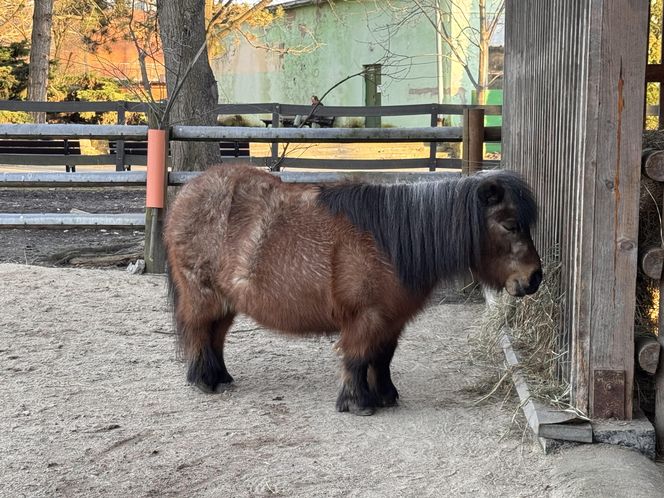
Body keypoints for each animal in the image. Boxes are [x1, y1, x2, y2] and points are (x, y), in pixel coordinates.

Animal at [163, 165, 544, 414]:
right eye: (511, 225)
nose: (534, 278)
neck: (390, 242)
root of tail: (187, 194)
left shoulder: (391, 320)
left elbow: (382, 357)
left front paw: (386, 395)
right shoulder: (367, 318)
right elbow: (358, 357)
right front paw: (358, 403)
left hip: (226, 303)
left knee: (214, 337)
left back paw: (220, 376)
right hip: (203, 297)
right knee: (199, 332)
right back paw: (204, 381)